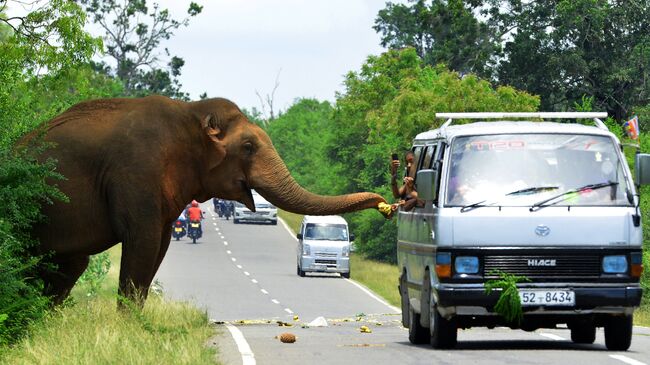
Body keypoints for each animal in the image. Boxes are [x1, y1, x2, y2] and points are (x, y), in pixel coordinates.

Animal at [26, 94, 384, 304]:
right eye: (248, 147)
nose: (385, 205)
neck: (190, 115)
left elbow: (158, 248)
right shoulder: (136, 173)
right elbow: (142, 244)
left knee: (69, 267)